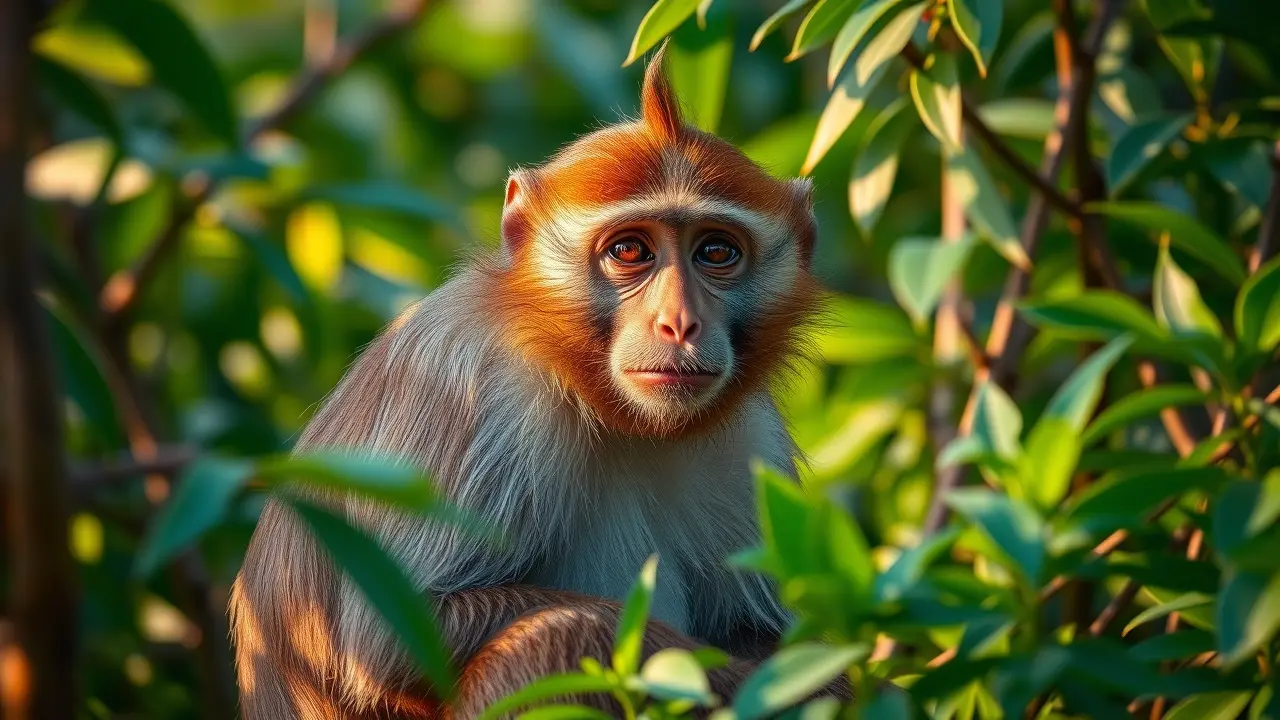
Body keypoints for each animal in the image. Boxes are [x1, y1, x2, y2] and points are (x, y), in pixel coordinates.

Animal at [229, 46, 827, 719]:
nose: (679, 322)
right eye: (630, 250)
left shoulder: (749, 435)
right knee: (555, 637)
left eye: (717, 253)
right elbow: (392, 639)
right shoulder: (482, 390)